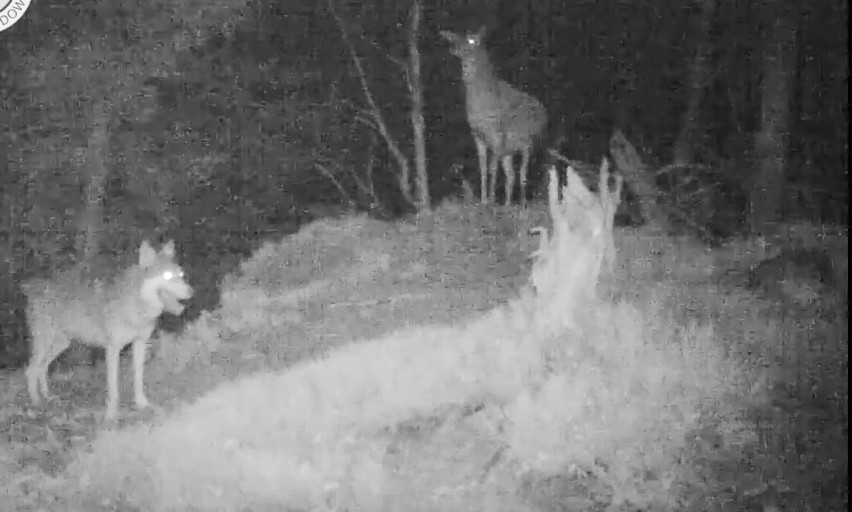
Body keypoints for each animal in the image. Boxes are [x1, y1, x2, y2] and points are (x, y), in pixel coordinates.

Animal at [21, 239, 195, 420]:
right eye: (167, 275)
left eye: (181, 275)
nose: (191, 291)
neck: (135, 305)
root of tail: (32, 287)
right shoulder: (113, 349)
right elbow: (113, 388)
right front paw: (111, 415)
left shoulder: (140, 344)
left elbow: (138, 380)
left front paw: (142, 404)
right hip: (45, 344)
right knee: (30, 370)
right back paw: (36, 403)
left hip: (61, 344)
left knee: (42, 368)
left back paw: (48, 397)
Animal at [442, 26, 548, 208]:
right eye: (457, 43)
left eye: (473, 42)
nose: (454, 48)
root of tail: (545, 115)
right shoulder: (478, 134)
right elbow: (483, 168)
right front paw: (484, 200)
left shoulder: (497, 132)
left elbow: (492, 168)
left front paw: (491, 200)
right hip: (510, 149)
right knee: (511, 175)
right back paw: (507, 205)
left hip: (529, 142)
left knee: (523, 174)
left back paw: (522, 204)